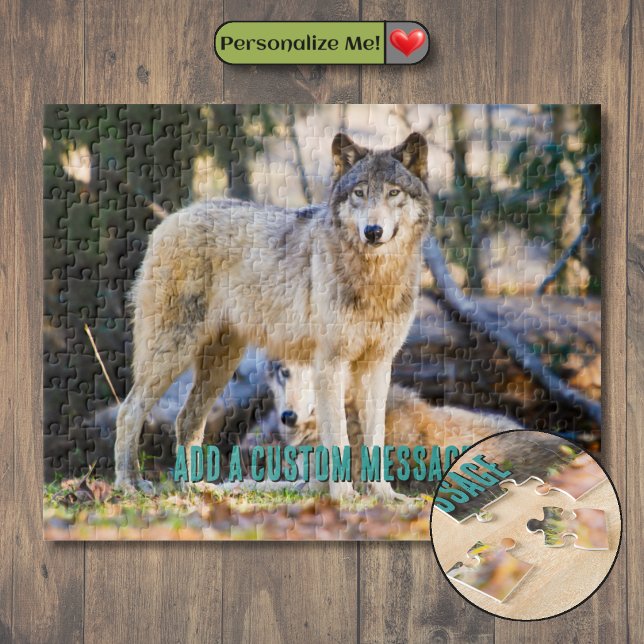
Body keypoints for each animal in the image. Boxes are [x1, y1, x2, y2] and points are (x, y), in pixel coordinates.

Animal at [114, 132, 431, 500]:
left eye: (393, 192)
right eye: (360, 193)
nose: (373, 231)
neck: (376, 278)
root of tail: (171, 220)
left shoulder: (378, 365)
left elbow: (376, 437)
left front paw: (383, 494)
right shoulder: (330, 363)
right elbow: (337, 435)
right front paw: (343, 496)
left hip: (221, 363)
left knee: (186, 419)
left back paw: (197, 489)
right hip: (173, 354)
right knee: (129, 410)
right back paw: (129, 484)